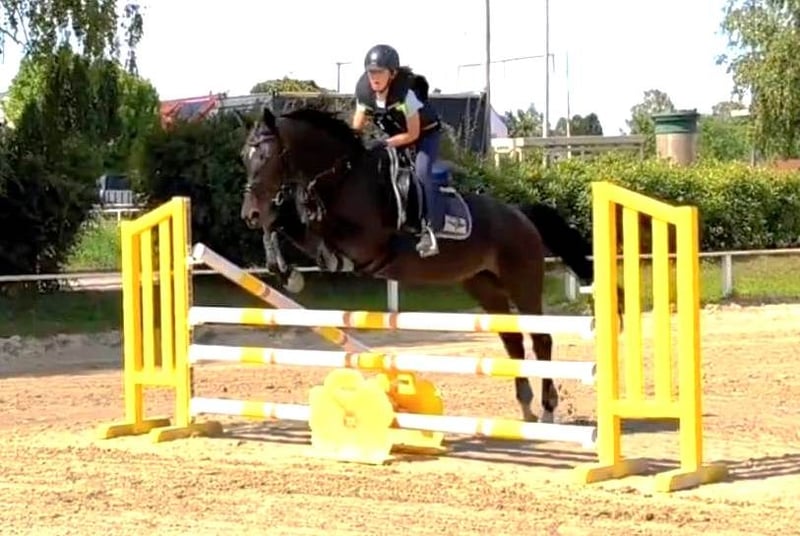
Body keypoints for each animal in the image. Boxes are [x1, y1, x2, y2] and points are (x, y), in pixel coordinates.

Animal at [239, 106, 602, 424]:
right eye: (245, 156)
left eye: (266, 156)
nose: (249, 214)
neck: (343, 178)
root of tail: (520, 214)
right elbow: (285, 227)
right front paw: (284, 268)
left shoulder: (364, 245)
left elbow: (313, 237)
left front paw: (294, 267)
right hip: (485, 286)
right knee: (512, 340)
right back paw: (526, 408)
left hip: (522, 281)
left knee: (541, 339)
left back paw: (548, 409)